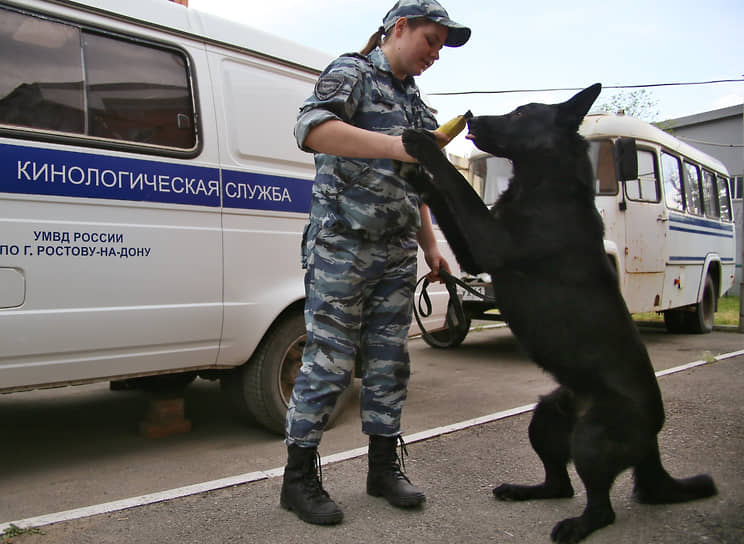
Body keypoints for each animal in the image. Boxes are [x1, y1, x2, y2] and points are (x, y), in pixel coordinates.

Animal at [404, 83, 716, 540]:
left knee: (600, 506)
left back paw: (577, 526)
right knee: (560, 483)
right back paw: (525, 490)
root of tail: (653, 441)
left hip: (592, 438)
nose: (472, 117)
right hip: (547, 416)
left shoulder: (490, 241)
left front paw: (426, 147)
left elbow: (458, 185)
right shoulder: (476, 254)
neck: (545, 183)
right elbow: (446, 199)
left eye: (519, 113)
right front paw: (414, 176)